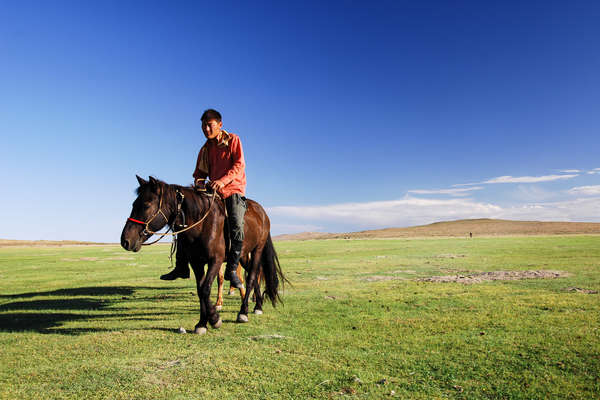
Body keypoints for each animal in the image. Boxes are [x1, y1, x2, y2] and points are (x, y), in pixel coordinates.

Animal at [120, 176, 284, 334]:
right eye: (134, 204)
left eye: (146, 205)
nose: (125, 240)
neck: (202, 224)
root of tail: (262, 213)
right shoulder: (196, 262)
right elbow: (201, 291)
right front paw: (202, 323)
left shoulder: (216, 260)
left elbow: (206, 289)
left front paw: (214, 319)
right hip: (243, 254)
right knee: (252, 275)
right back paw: (258, 305)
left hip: (257, 250)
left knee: (252, 276)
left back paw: (244, 312)